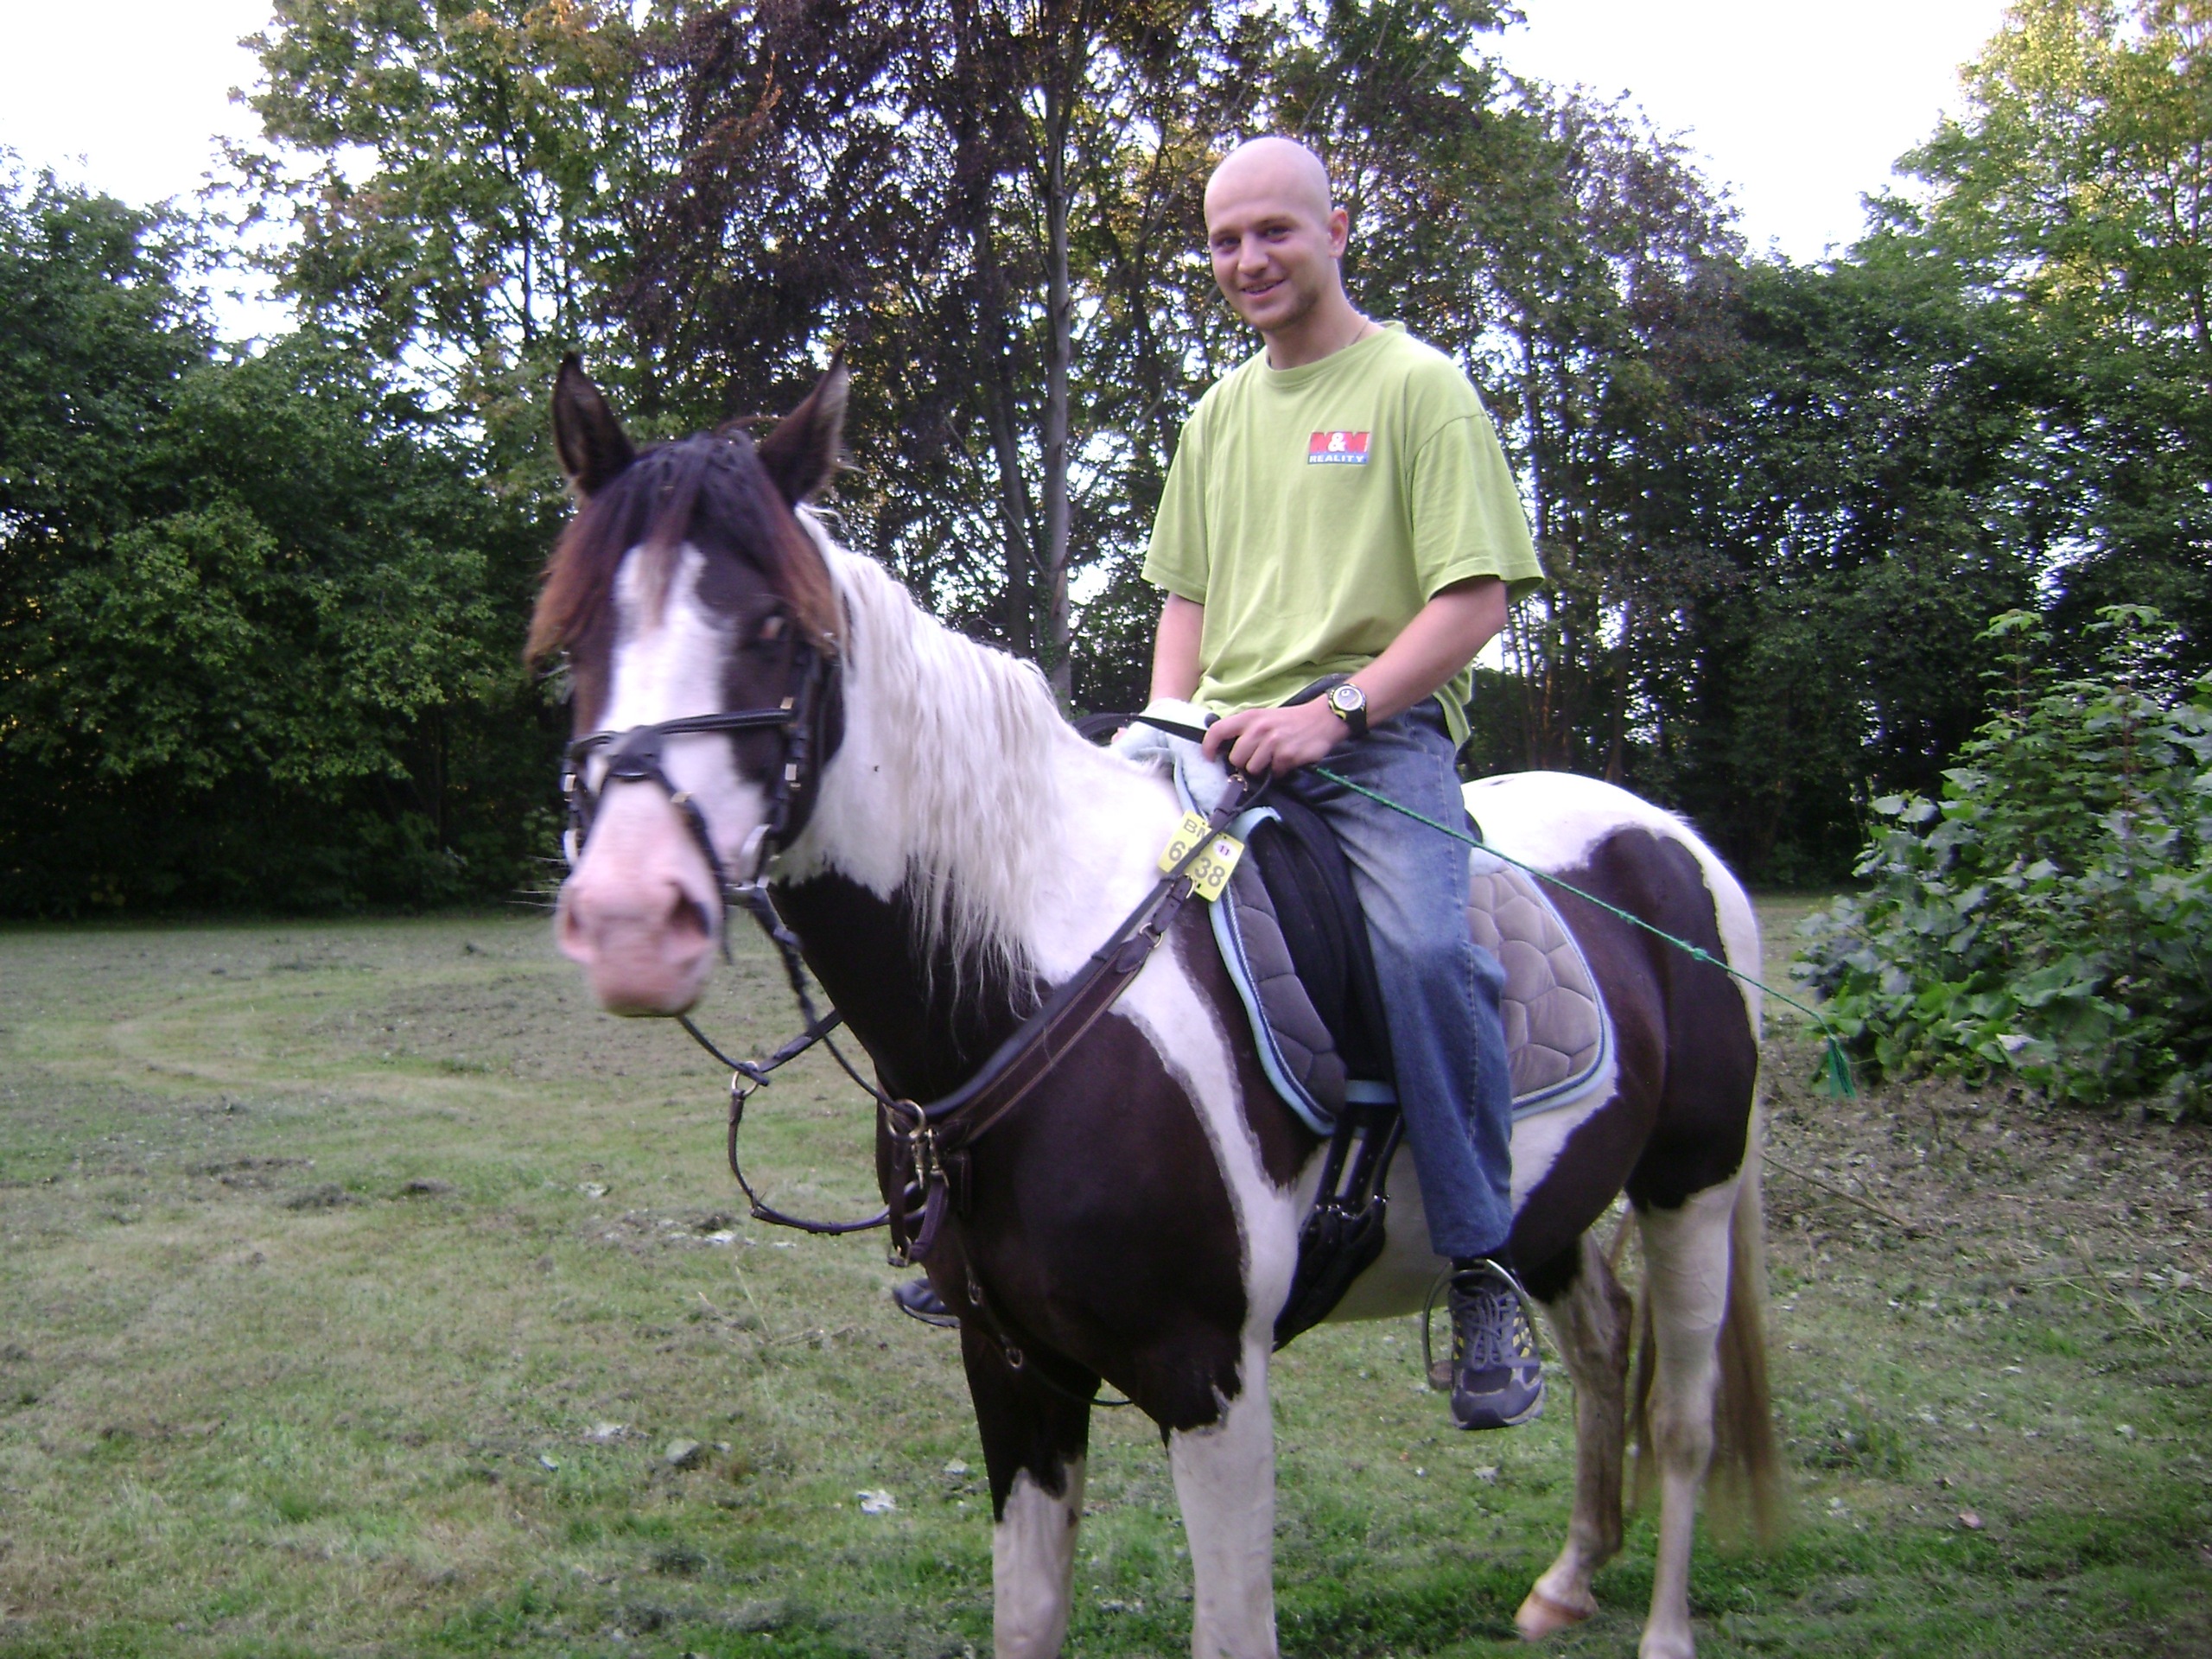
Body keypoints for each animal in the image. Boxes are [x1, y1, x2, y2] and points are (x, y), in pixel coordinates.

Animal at [538, 357, 1781, 1659]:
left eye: (779, 628)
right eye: (576, 639)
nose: (629, 921)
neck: (1031, 988)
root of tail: (1675, 838)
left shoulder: (1210, 1382)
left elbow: (1234, 1629)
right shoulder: (1013, 1366)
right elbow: (1028, 1617)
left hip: (1692, 1185)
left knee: (1682, 1420)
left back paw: (1662, 1626)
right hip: (1553, 1205)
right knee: (1601, 1346)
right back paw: (1569, 1577)